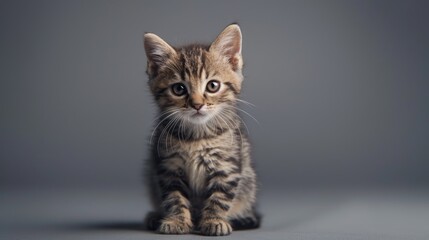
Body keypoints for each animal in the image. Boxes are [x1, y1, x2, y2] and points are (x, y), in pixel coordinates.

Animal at [143, 24, 258, 236]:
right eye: (179, 89)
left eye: (213, 85)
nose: (197, 105)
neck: (197, 136)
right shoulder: (169, 165)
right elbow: (174, 196)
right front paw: (177, 220)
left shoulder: (226, 166)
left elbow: (219, 197)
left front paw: (214, 221)